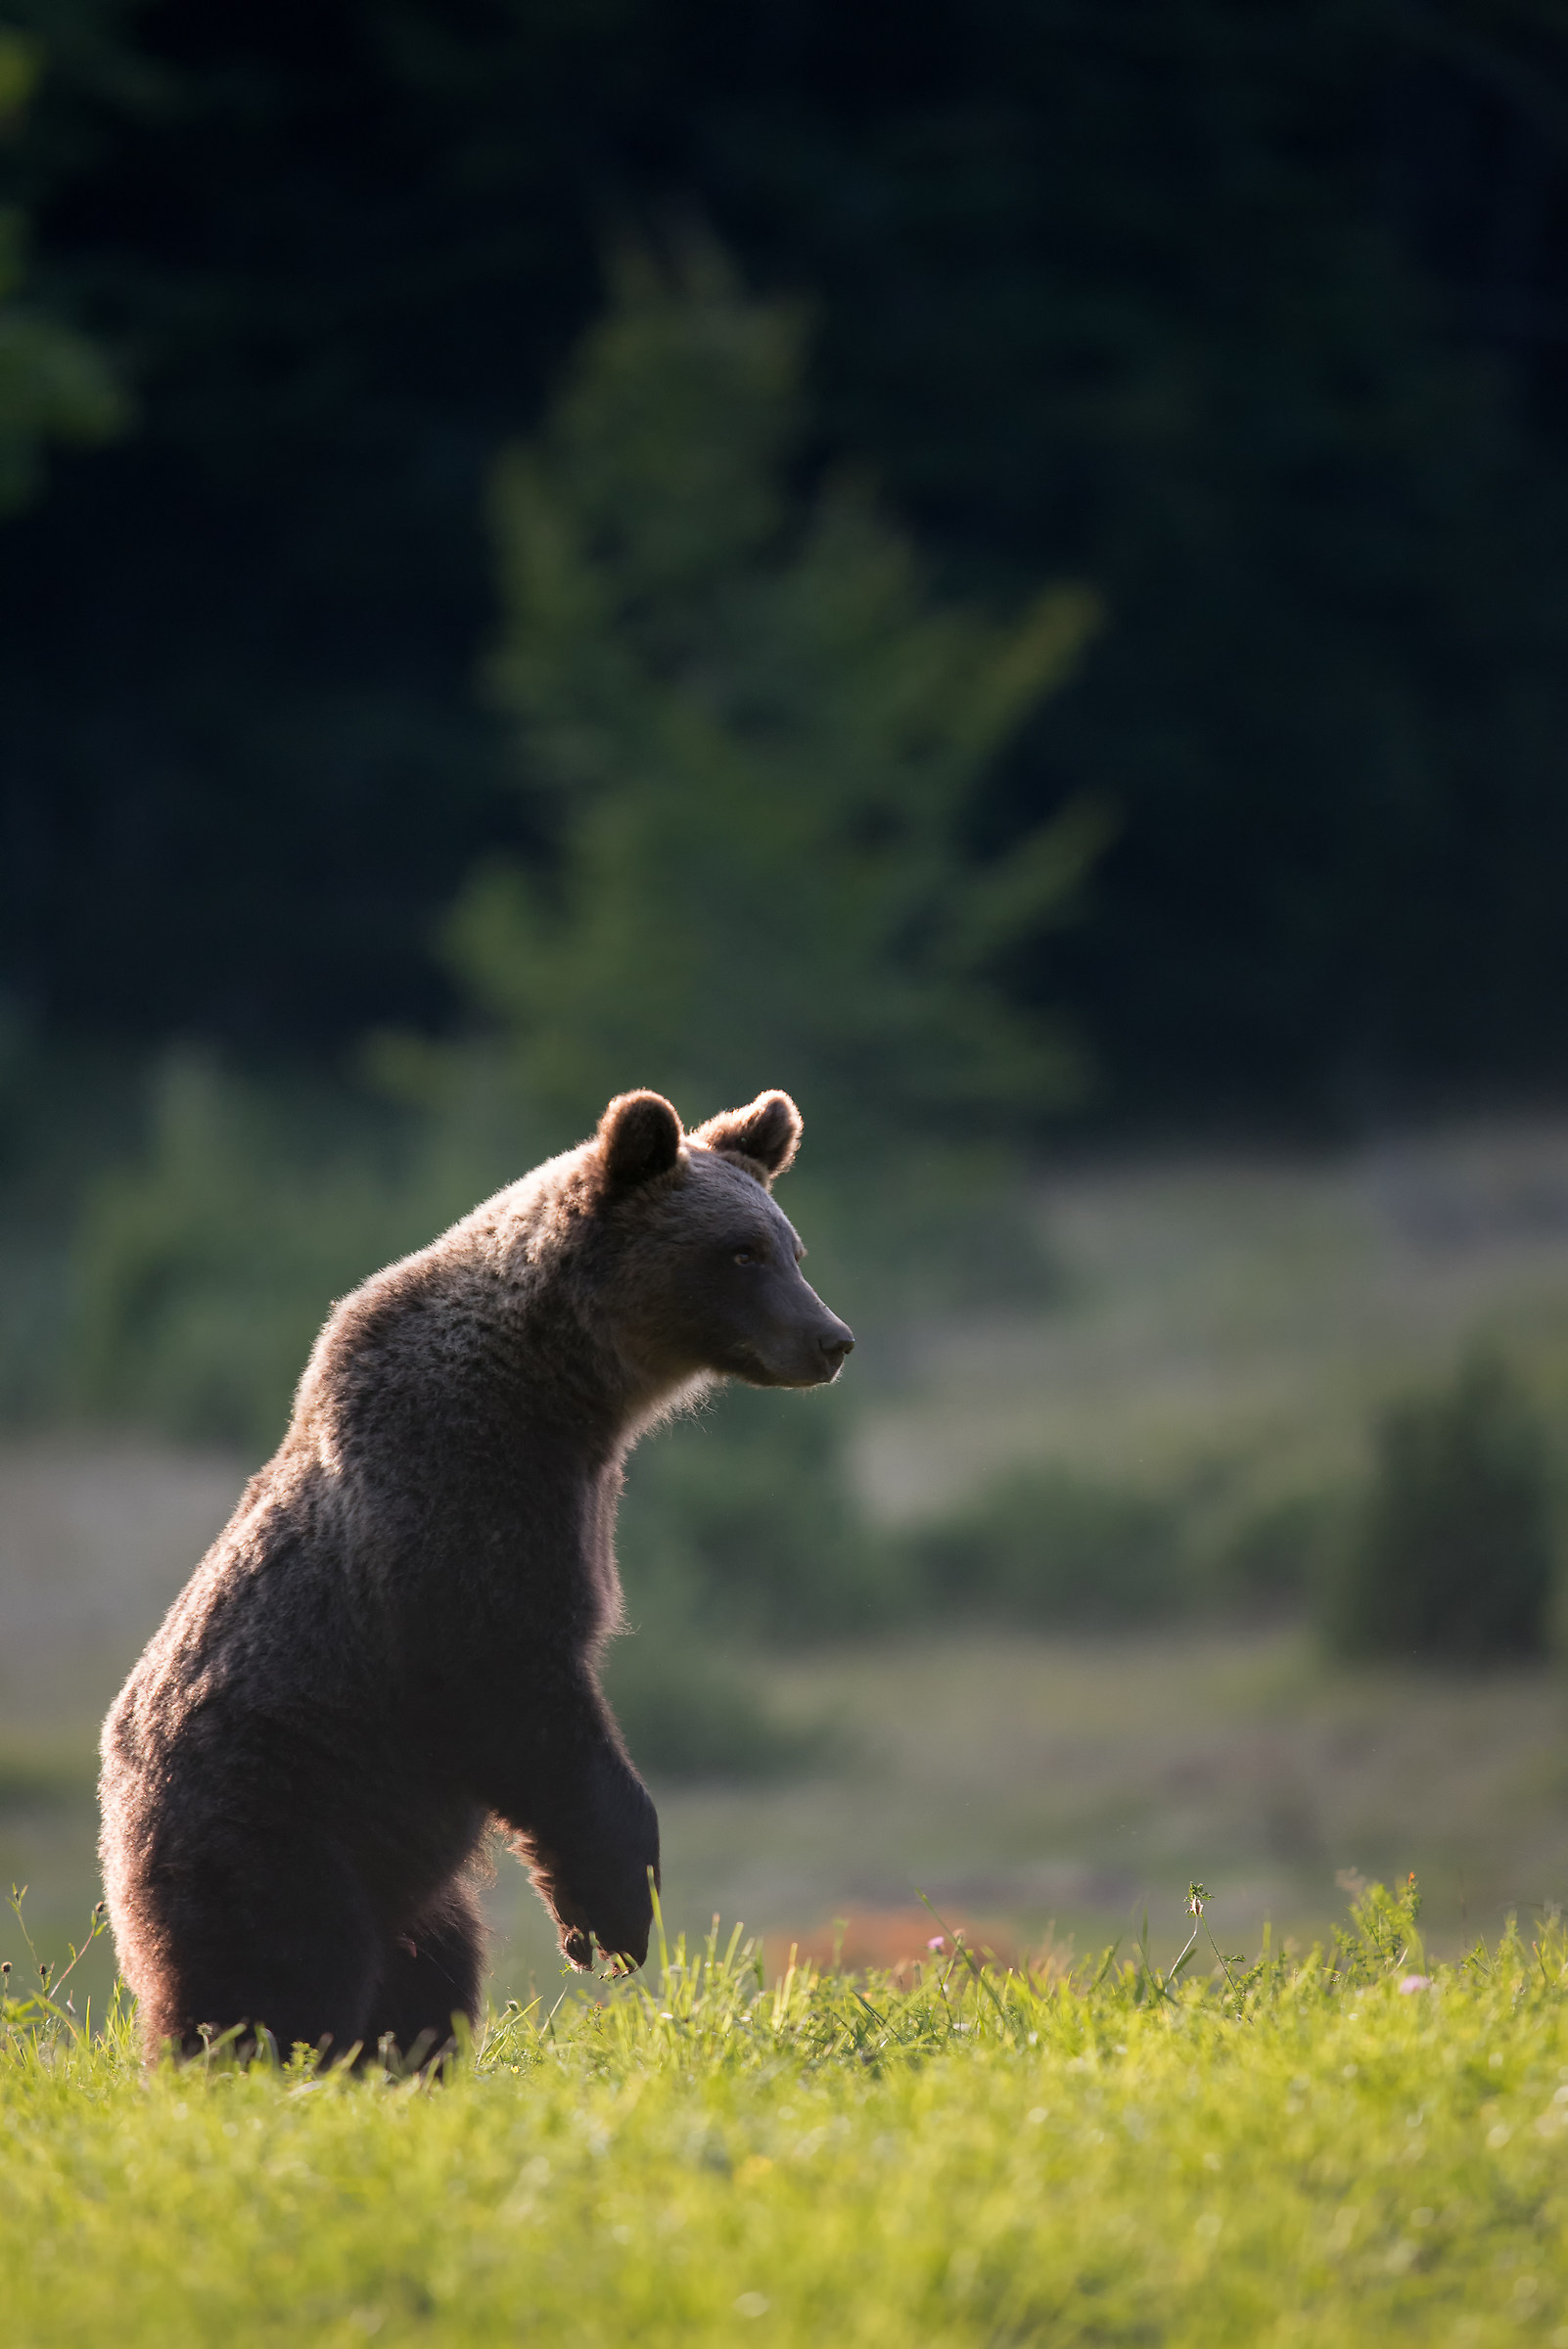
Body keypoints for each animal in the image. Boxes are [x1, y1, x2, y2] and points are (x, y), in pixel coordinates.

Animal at [98, 1087, 853, 2064]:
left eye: (791, 1248)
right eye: (741, 1252)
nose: (831, 1339)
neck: (566, 1392)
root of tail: (113, 1803)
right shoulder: (461, 1499)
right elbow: (515, 1687)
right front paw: (612, 1917)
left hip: (413, 1888)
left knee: (426, 1980)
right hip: (272, 1812)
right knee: (276, 1971)